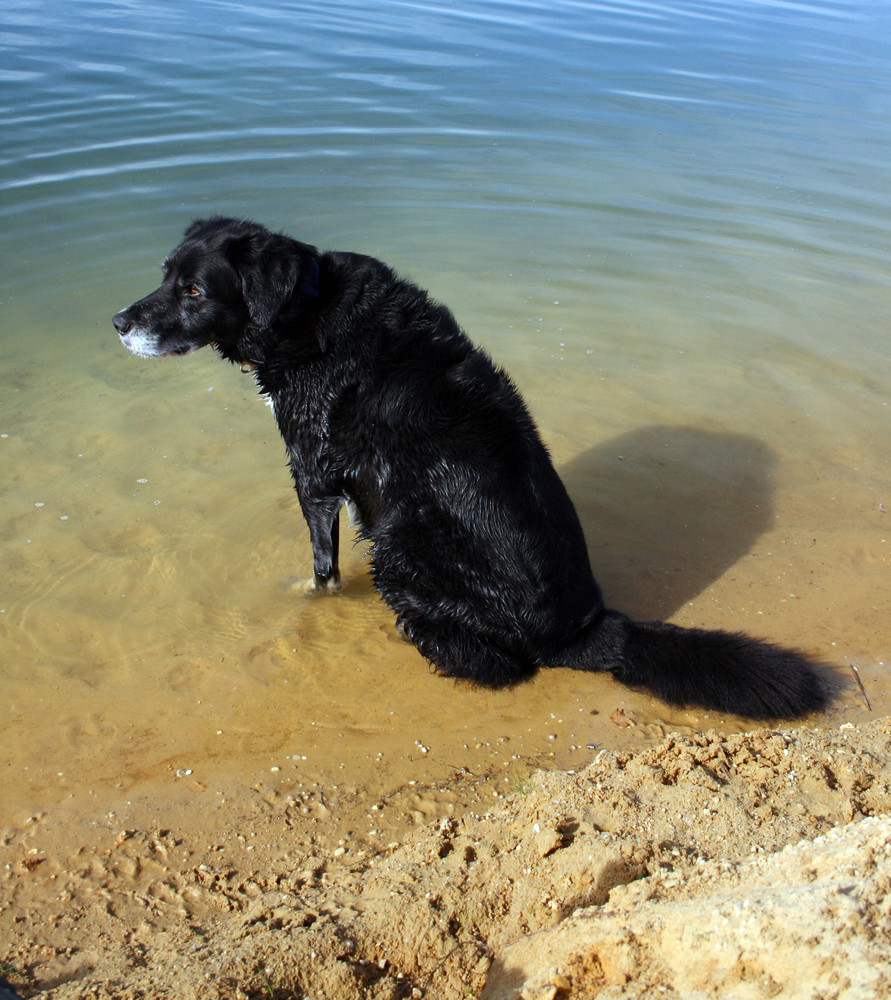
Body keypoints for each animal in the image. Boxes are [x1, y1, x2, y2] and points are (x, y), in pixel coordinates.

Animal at [113, 219, 828, 720]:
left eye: (194, 290)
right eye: (164, 275)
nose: (117, 321)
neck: (306, 312)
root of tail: (592, 632)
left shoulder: (311, 473)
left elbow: (322, 569)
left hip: (400, 542)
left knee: (491, 662)